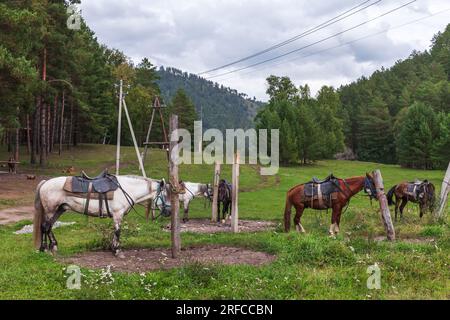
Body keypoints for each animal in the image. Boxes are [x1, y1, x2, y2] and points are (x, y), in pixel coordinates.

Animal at [33, 175, 167, 258]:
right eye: (165, 194)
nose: (168, 212)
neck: (126, 189)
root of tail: (45, 183)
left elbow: (115, 232)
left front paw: (113, 248)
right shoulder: (118, 214)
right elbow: (118, 231)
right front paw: (117, 251)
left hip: (60, 209)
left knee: (49, 227)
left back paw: (53, 247)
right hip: (51, 210)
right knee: (45, 226)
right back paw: (44, 248)